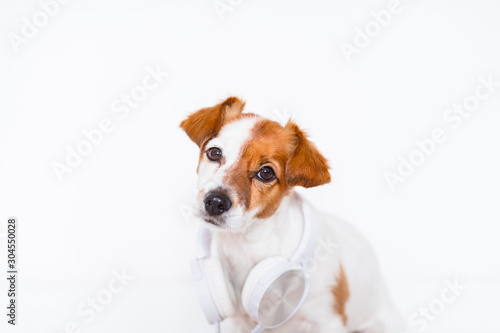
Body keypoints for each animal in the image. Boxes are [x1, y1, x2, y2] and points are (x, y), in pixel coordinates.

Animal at [180, 96, 402, 332]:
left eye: (266, 173)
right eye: (214, 153)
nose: (215, 202)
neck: (247, 246)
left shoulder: (328, 320)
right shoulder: (236, 323)